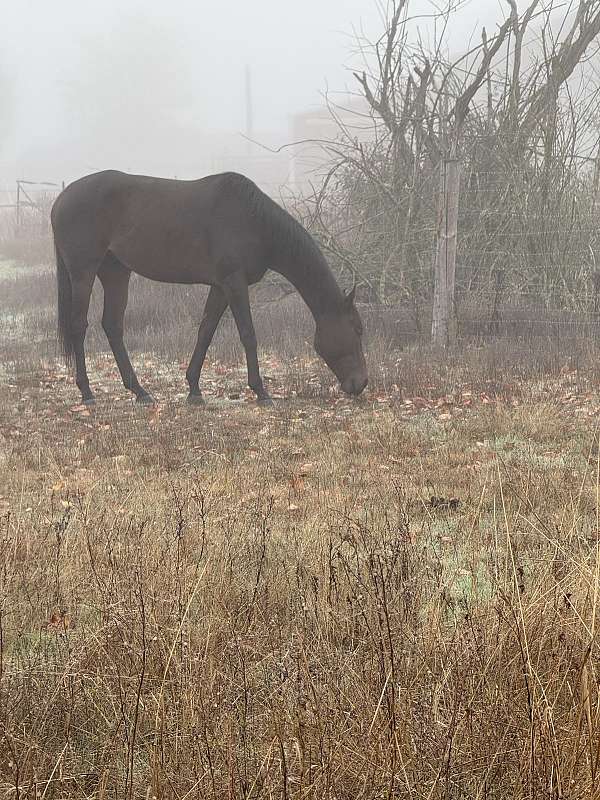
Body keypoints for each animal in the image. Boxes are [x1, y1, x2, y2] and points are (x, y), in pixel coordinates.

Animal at [51, 170, 368, 406]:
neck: (254, 222)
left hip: (116, 273)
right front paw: (260, 391)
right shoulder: (234, 283)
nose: (361, 384)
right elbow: (248, 334)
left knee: (113, 326)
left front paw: (193, 389)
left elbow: (205, 331)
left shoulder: (220, 286)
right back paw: (87, 392)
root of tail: (60, 200)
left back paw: (140, 391)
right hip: (83, 273)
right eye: (356, 330)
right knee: (79, 326)